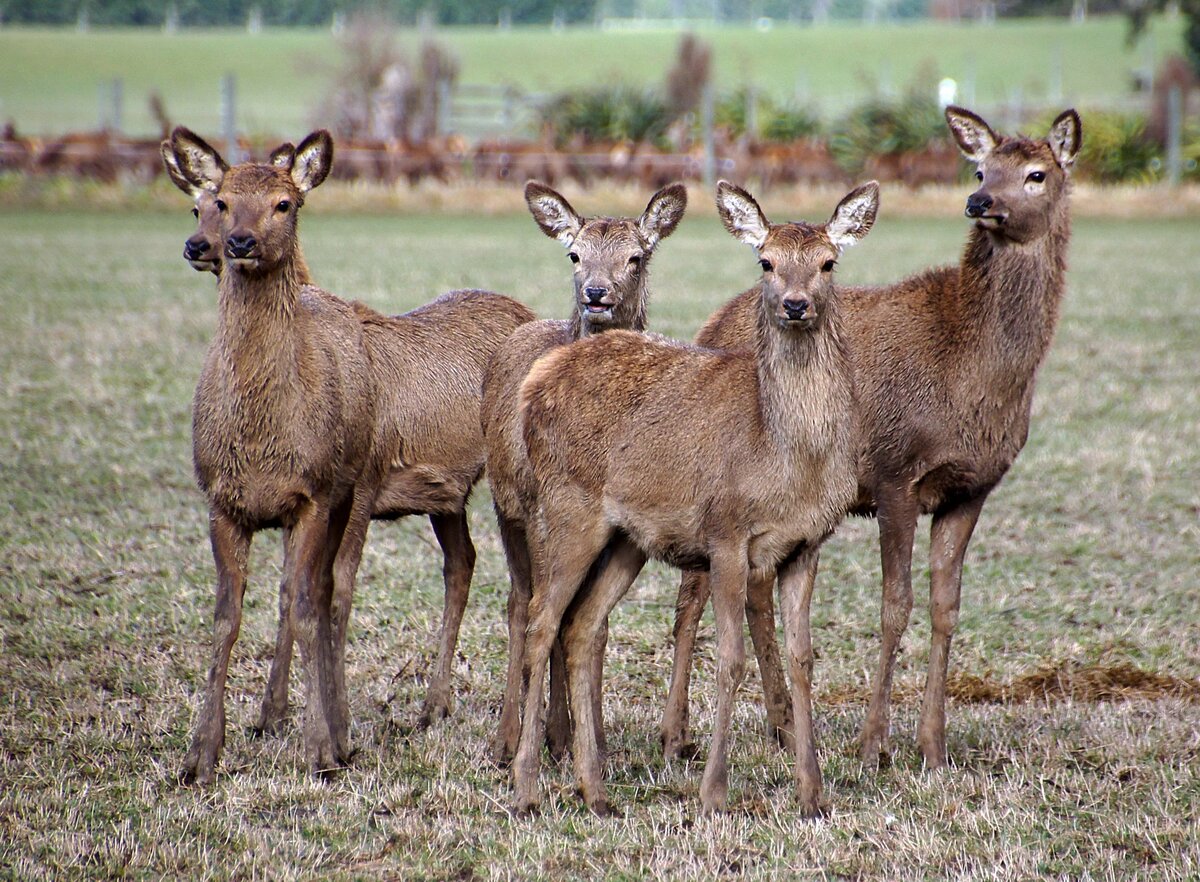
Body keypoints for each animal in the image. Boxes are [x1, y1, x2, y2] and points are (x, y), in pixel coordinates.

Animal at [165, 127, 535, 784]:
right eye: (209, 203)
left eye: (285, 204)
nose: (219, 245)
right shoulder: (224, 500)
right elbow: (246, 610)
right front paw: (216, 746)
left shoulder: (348, 488)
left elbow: (325, 598)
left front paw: (327, 738)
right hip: (445, 498)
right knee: (461, 563)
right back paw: (434, 705)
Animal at [484, 180, 688, 765]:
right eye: (574, 254)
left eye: (636, 257)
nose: (596, 294)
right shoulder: (538, 508)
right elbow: (544, 614)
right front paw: (545, 736)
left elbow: (593, 626)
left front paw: (588, 736)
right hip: (508, 506)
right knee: (518, 602)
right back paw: (509, 737)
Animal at [510, 180, 878, 817]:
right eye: (765, 261)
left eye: (829, 262)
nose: (796, 305)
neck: (784, 456)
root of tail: (538, 380)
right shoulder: (726, 533)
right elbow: (729, 658)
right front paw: (713, 793)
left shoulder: (807, 544)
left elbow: (803, 659)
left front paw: (812, 793)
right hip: (566, 507)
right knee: (540, 623)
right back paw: (527, 785)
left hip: (627, 538)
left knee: (581, 625)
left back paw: (596, 790)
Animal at [661, 106, 1082, 773]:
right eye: (980, 168)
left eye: (1037, 173)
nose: (980, 201)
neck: (980, 373)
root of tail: (710, 324)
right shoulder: (894, 471)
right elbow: (894, 606)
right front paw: (873, 744)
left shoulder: (972, 488)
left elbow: (945, 607)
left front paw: (933, 745)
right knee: (692, 598)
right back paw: (678, 734)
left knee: (750, 591)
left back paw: (779, 725)